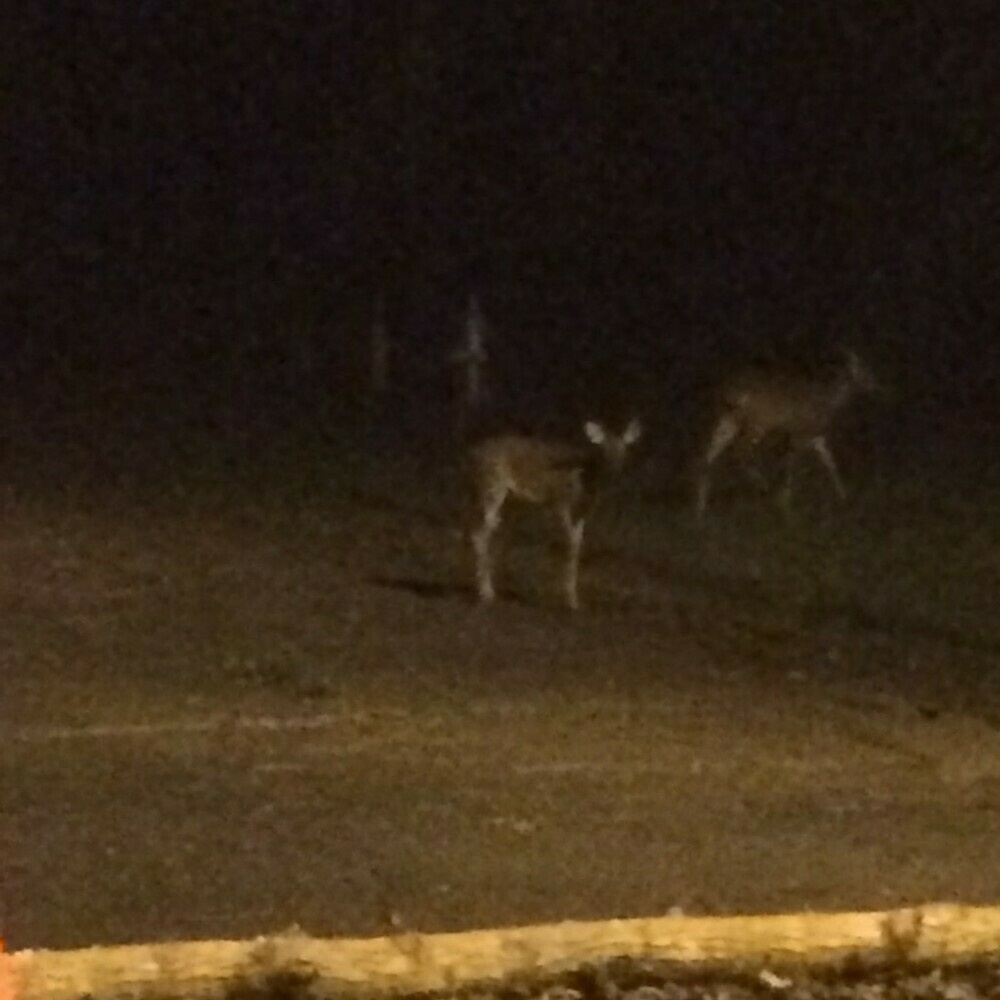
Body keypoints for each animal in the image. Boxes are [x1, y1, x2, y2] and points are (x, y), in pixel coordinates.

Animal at [466, 416, 644, 608]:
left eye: (624, 448)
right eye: (604, 448)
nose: (615, 467)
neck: (587, 478)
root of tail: (472, 456)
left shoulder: (582, 512)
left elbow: (577, 546)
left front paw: (572, 596)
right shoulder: (560, 501)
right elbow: (569, 545)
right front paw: (570, 600)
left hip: (507, 499)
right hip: (492, 487)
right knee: (480, 533)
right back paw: (486, 593)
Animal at [696, 348, 876, 520]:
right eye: (863, 370)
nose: (874, 383)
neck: (828, 403)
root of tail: (730, 393)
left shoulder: (816, 436)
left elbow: (829, 461)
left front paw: (844, 497)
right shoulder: (799, 433)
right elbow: (793, 463)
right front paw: (785, 501)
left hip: (728, 420)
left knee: (710, 454)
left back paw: (701, 506)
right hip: (758, 421)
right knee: (739, 451)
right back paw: (764, 486)